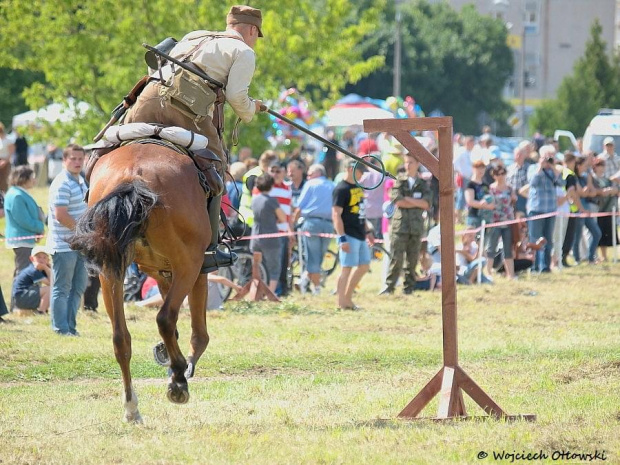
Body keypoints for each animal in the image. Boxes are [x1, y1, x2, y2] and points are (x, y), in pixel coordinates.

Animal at [70, 143, 211, 422]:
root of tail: (133, 176)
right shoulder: (194, 266)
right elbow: (198, 332)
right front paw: (180, 367)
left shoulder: (162, 270)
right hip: (189, 262)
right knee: (165, 318)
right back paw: (178, 381)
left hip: (110, 269)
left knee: (120, 338)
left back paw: (131, 407)